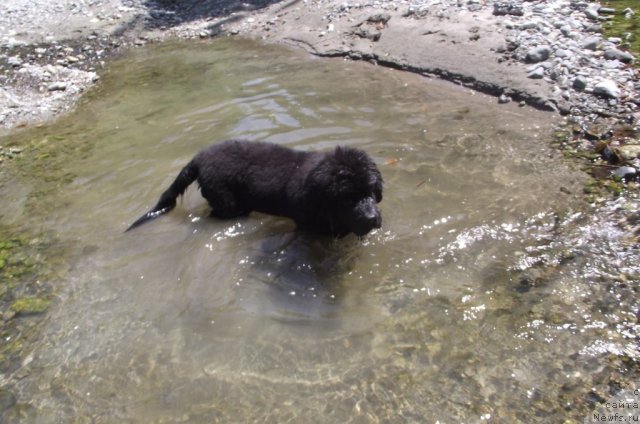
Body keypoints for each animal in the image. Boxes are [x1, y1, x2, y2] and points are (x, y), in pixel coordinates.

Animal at [127, 140, 382, 237]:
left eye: (371, 192)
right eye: (347, 198)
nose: (372, 218)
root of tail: (198, 159)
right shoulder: (309, 226)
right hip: (227, 201)